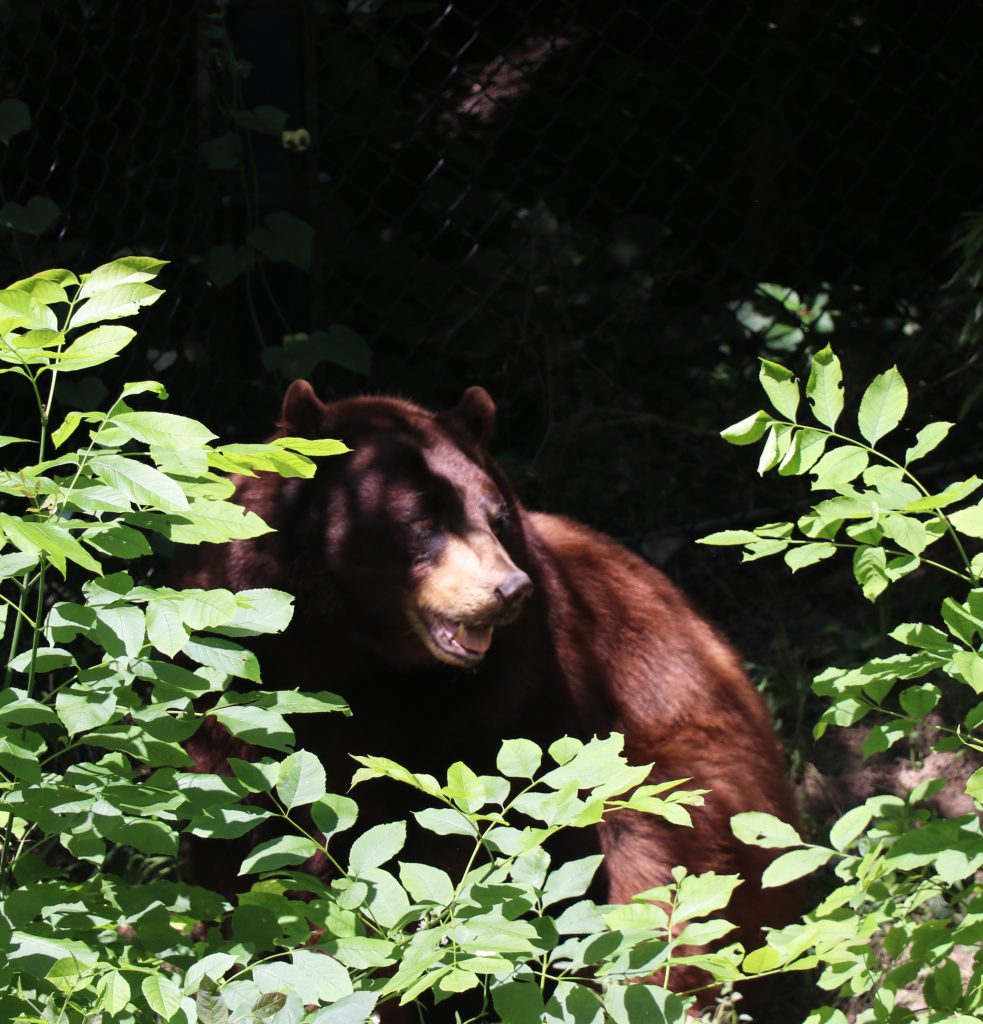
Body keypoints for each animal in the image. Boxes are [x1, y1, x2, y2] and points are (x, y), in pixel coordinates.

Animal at [182, 380, 798, 995]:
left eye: (498, 518)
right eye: (423, 520)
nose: (511, 589)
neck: (359, 660)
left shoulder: (498, 704)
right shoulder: (243, 673)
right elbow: (232, 828)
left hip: (695, 790)